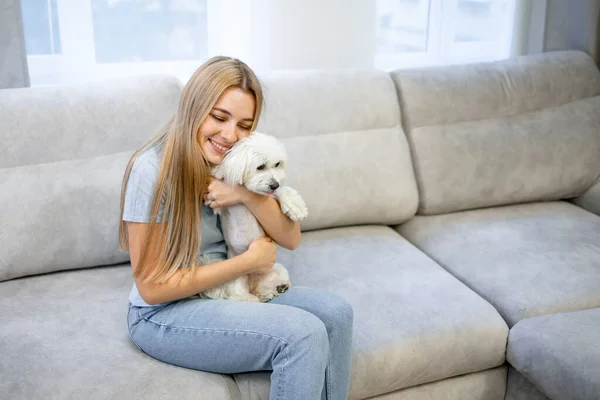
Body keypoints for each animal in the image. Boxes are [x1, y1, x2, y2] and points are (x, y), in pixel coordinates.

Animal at [200, 132, 308, 304]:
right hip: (237, 272)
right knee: (237, 293)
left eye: (277, 164)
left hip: (276, 269)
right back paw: (249, 298)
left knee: (264, 288)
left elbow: (283, 191)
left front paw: (295, 207)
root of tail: (253, 283)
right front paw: (218, 169)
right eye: (260, 166)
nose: (275, 184)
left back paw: (276, 289)